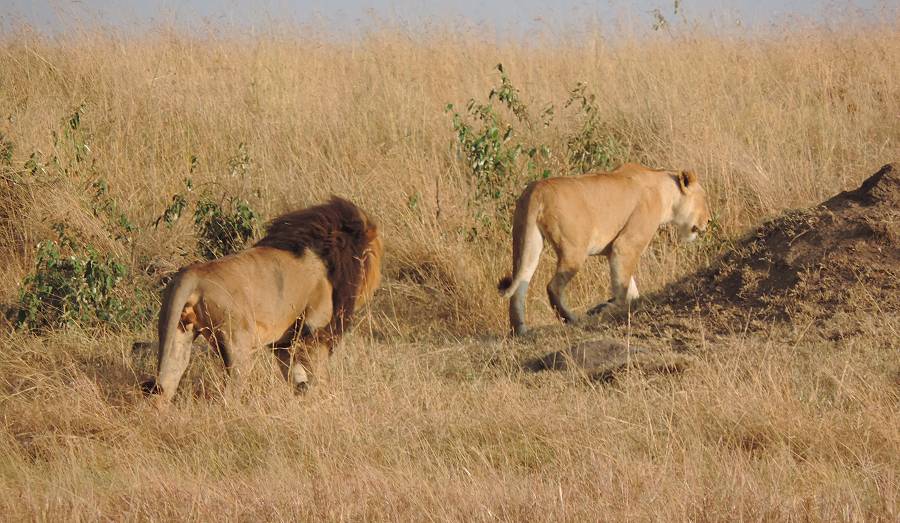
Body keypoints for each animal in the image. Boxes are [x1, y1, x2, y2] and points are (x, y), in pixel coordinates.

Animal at [142, 196, 382, 406]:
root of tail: (193, 274)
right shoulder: (315, 331)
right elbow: (318, 375)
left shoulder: (284, 343)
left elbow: (296, 378)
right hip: (238, 341)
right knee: (229, 394)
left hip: (177, 332)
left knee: (166, 383)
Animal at [500, 163, 712, 336]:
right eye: (704, 198)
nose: (709, 221)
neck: (665, 191)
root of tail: (537, 189)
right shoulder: (626, 245)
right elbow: (622, 287)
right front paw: (609, 308)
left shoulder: (616, 251)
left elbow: (629, 287)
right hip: (574, 251)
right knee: (553, 286)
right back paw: (571, 319)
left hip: (527, 243)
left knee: (519, 288)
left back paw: (520, 331)